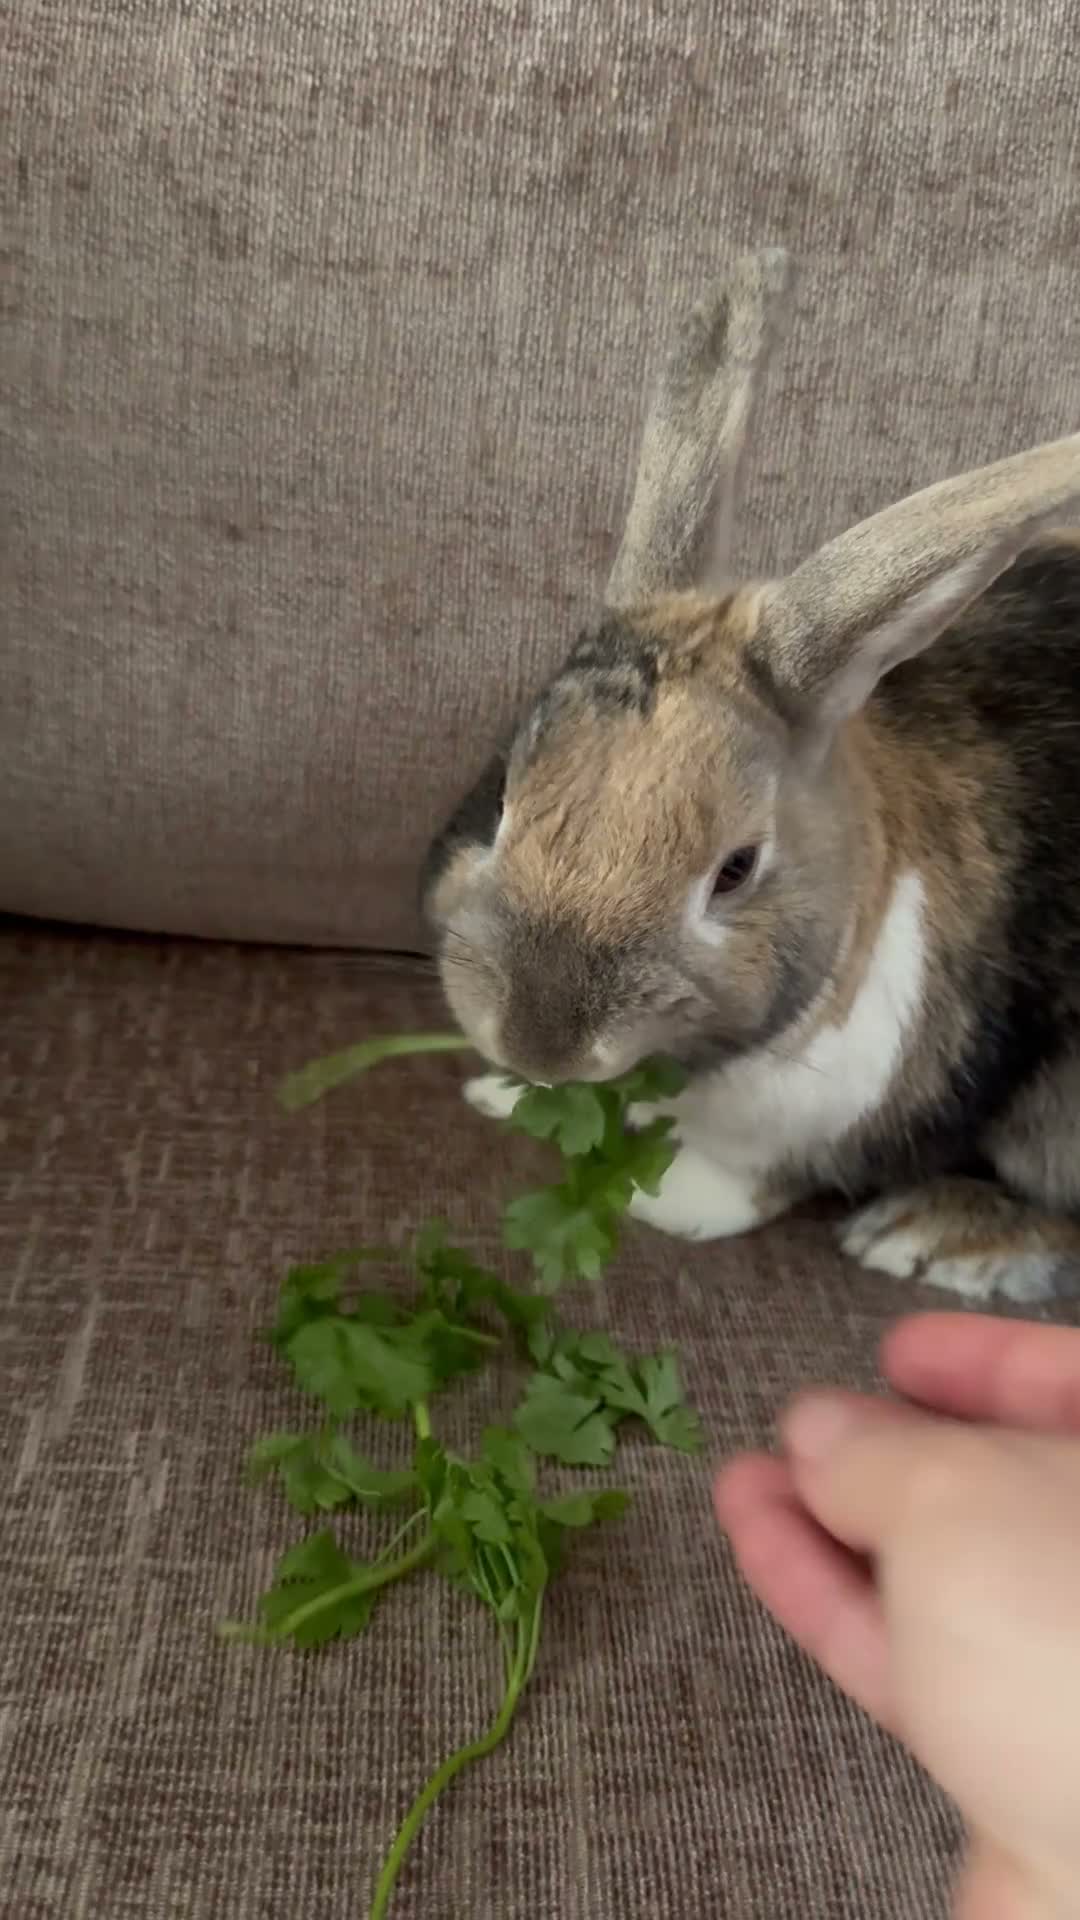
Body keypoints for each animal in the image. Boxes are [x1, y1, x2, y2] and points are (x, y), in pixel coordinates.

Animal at [421, 246, 1080, 1304]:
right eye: (504, 801)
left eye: (735, 871)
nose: (539, 1043)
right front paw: (500, 1093)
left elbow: (749, 1178)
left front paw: (665, 1202)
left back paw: (931, 1238)